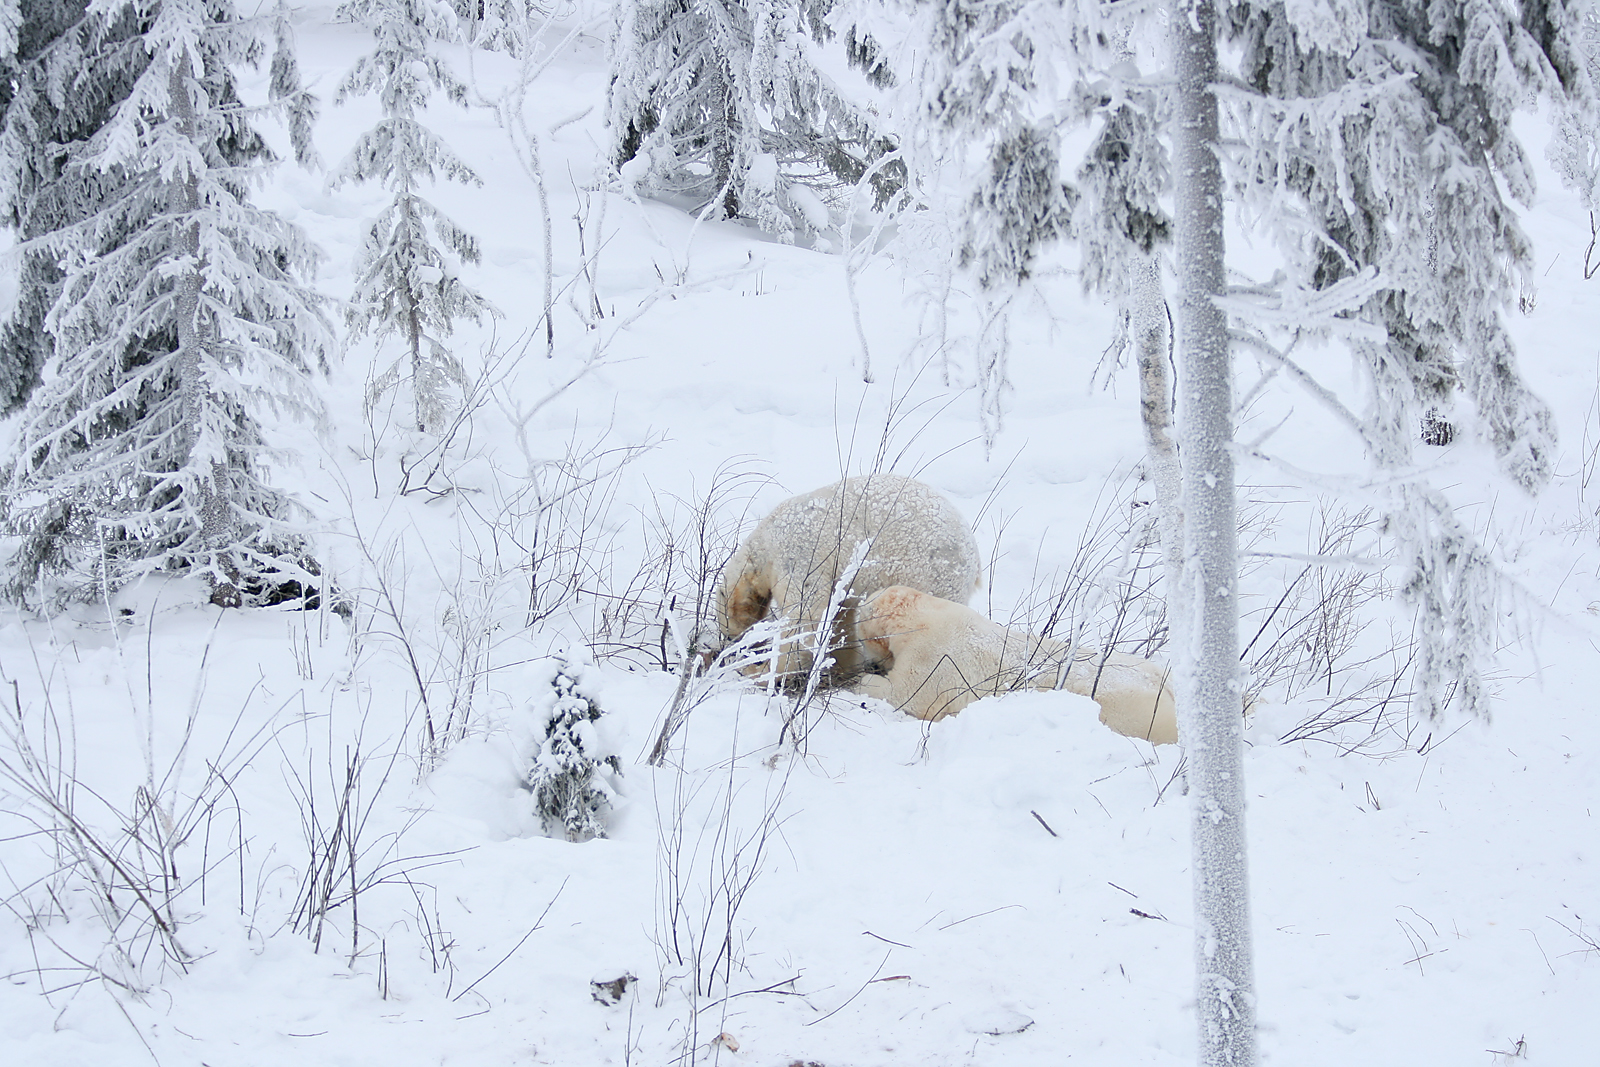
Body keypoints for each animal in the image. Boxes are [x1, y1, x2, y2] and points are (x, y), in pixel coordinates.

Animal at [716, 475, 980, 681]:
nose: (732, 643)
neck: (765, 545)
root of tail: (974, 559)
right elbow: (839, 614)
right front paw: (842, 666)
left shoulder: (799, 557)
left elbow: (806, 616)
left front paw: (761, 670)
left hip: (925, 570)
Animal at [851, 585, 1179, 745]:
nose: (867, 660)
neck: (922, 616)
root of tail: (1162, 680)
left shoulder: (935, 654)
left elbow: (909, 693)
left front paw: (862, 682)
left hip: (1134, 711)